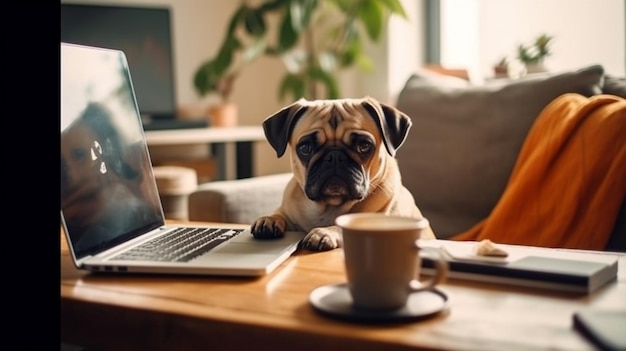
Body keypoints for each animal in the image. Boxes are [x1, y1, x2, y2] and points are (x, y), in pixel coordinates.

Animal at [249, 96, 434, 250]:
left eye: (364, 146)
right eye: (305, 148)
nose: (335, 156)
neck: (330, 206)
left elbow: (346, 225)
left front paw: (324, 232)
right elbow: (279, 213)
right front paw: (270, 219)